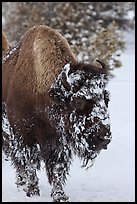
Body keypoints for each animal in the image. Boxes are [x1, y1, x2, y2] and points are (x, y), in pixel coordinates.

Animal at [1, 24, 111, 202]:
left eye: (106, 98)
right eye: (78, 101)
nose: (103, 137)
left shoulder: (57, 141)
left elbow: (57, 168)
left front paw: (60, 196)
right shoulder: (24, 136)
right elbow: (30, 163)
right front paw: (32, 191)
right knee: (16, 159)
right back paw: (21, 183)